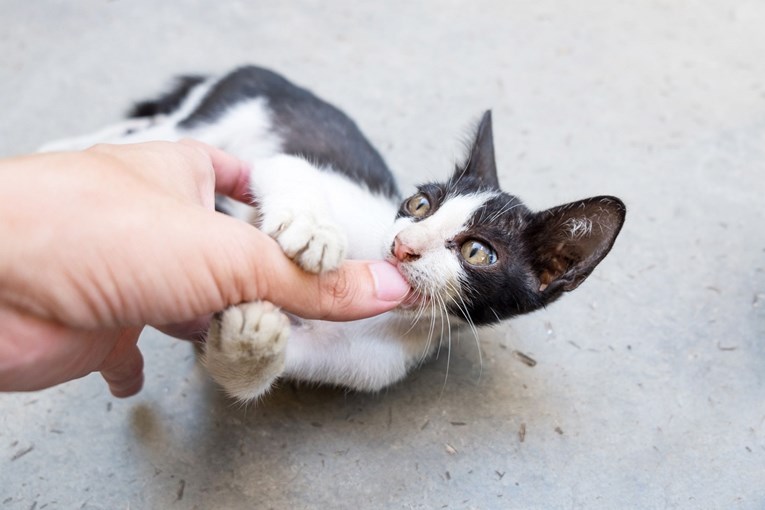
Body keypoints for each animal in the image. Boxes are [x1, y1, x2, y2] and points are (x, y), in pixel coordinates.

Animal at [41, 65, 624, 400]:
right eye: (419, 204)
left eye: (479, 252)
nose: (403, 245)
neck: (391, 317)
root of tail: (243, 67)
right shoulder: (288, 167)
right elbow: (289, 169)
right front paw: (312, 228)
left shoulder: (370, 365)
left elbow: (231, 373)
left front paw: (250, 340)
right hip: (205, 120)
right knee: (142, 132)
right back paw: (57, 154)